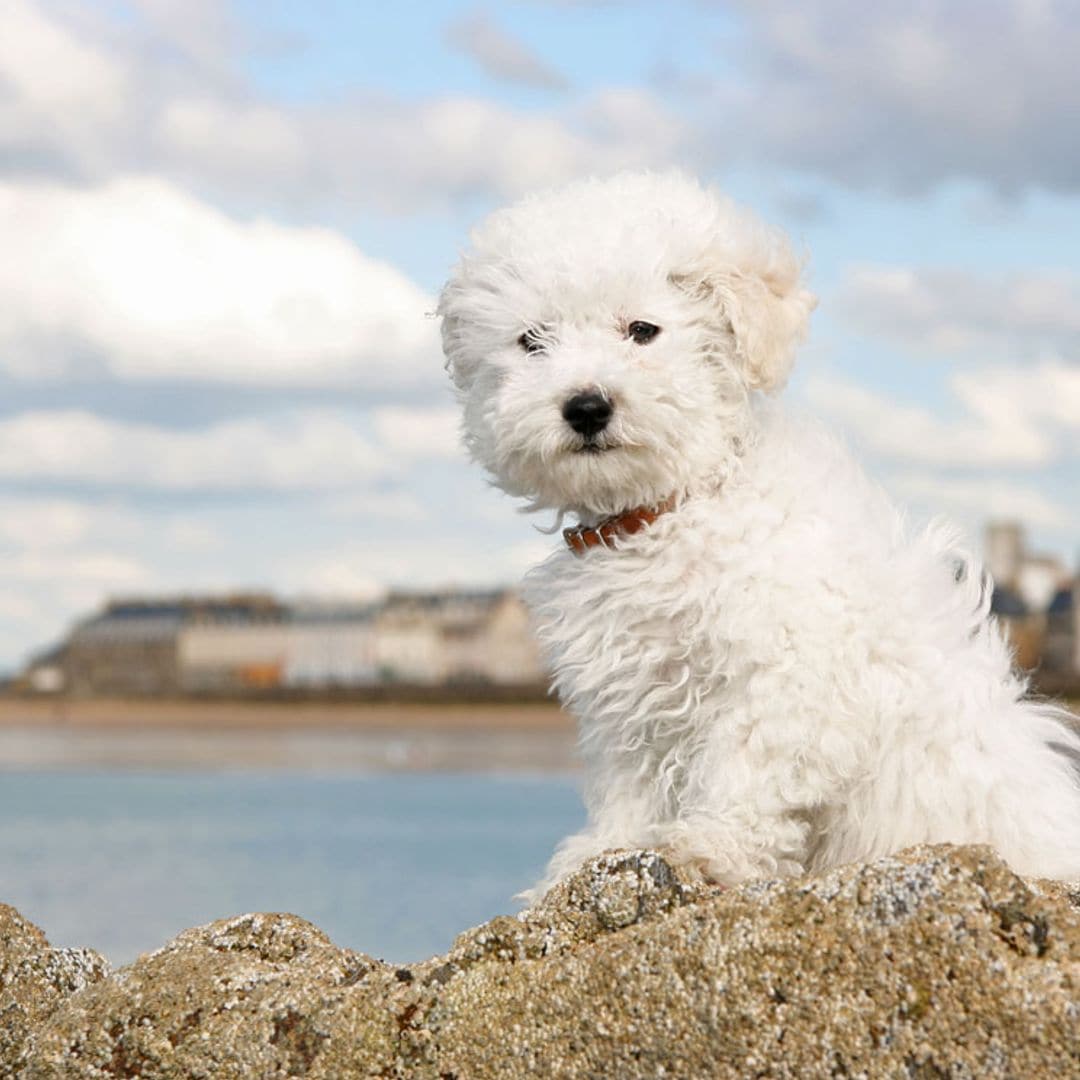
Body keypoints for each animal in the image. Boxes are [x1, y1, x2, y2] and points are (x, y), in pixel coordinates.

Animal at [436, 172, 1080, 898]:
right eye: (532, 340)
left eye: (642, 330)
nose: (586, 405)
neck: (673, 509)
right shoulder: (632, 696)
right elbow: (632, 785)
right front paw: (602, 854)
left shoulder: (788, 672)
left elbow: (747, 768)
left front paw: (709, 849)